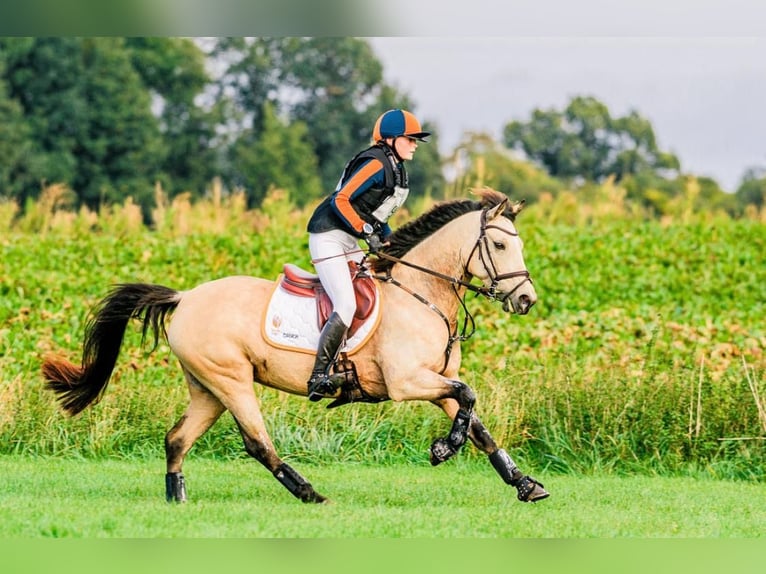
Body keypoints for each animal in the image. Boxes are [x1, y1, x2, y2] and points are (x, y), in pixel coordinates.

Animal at [42, 188, 548, 504]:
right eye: (499, 246)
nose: (526, 299)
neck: (420, 293)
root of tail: (185, 297)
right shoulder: (407, 382)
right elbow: (468, 397)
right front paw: (443, 449)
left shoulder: (435, 379)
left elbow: (478, 424)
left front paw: (524, 484)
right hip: (231, 380)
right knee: (257, 443)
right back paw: (310, 493)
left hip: (207, 388)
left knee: (177, 439)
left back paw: (178, 498)